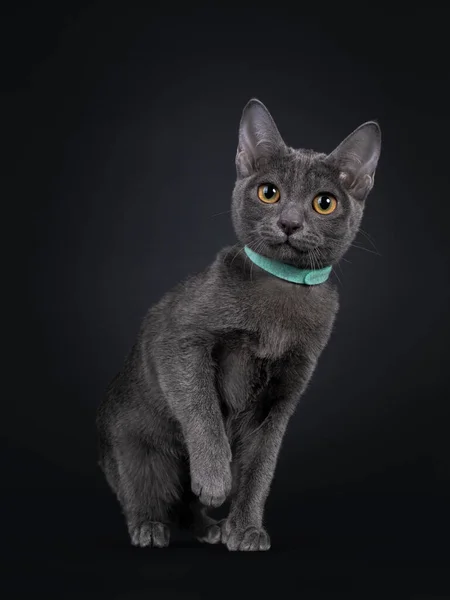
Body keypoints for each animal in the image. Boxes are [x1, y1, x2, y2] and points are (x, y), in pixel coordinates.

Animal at [96, 99, 380, 552]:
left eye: (325, 203)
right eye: (269, 192)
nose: (289, 222)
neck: (282, 297)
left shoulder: (282, 396)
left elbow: (260, 467)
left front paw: (244, 528)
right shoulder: (180, 339)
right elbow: (202, 407)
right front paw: (215, 479)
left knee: (185, 505)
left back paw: (208, 527)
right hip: (134, 448)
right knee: (141, 492)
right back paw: (150, 527)